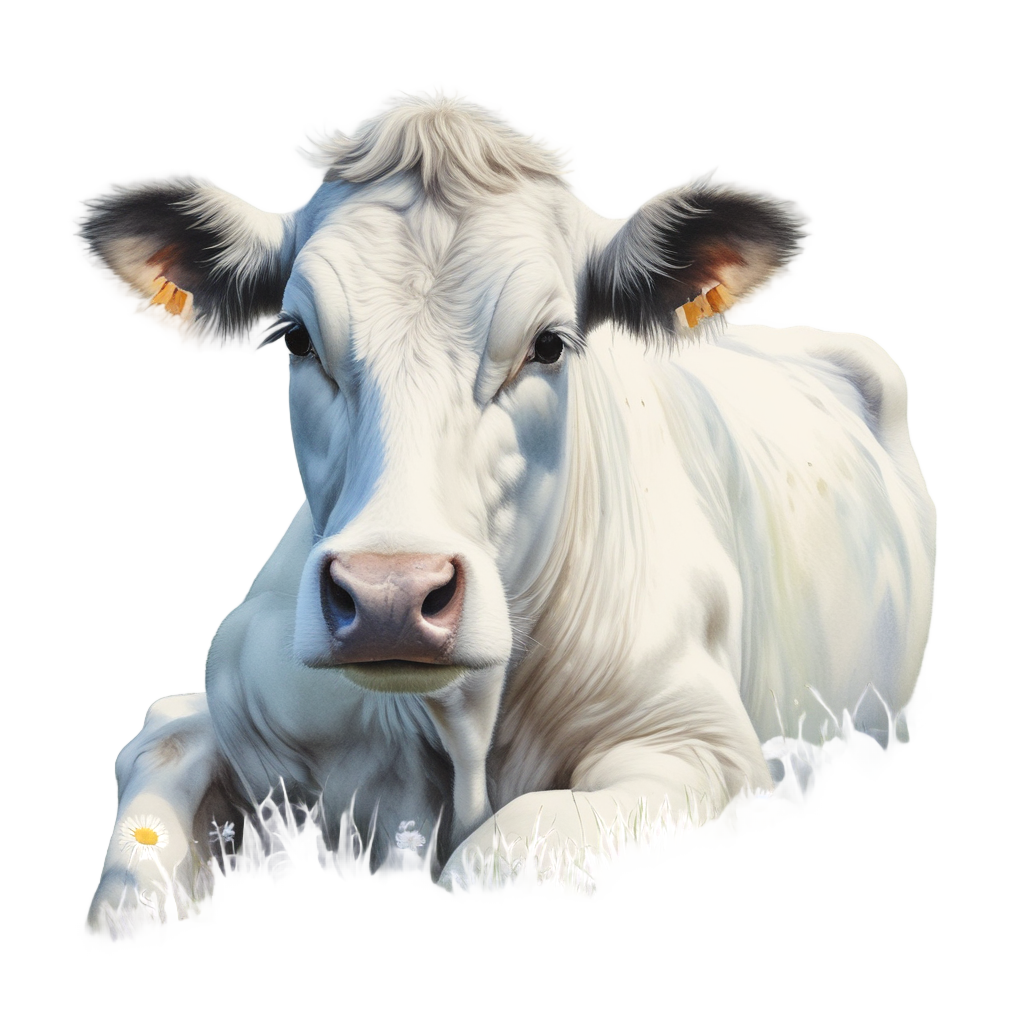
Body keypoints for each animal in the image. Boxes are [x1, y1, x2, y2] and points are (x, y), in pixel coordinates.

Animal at [84, 99, 931, 929]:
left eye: (550, 345)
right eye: (296, 338)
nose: (390, 595)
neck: (460, 727)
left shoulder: (703, 753)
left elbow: (491, 865)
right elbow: (140, 850)